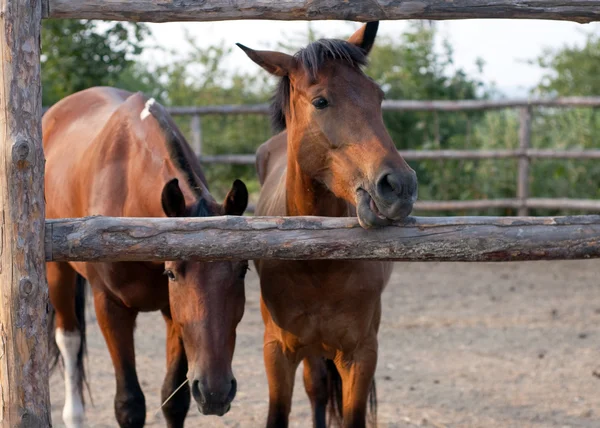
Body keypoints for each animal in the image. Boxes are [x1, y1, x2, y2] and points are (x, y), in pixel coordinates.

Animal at [43, 87, 247, 428]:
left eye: (243, 270)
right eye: (173, 273)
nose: (215, 391)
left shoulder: (172, 312)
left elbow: (174, 401)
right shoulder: (110, 307)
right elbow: (129, 404)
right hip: (58, 272)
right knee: (69, 339)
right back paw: (74, 415)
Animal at [238, 21, 418, 426]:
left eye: (378, 96)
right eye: (321, 101)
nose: (399, 185)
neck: (317, 260)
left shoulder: (361, 354)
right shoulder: (277, 352)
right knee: (317, 389)